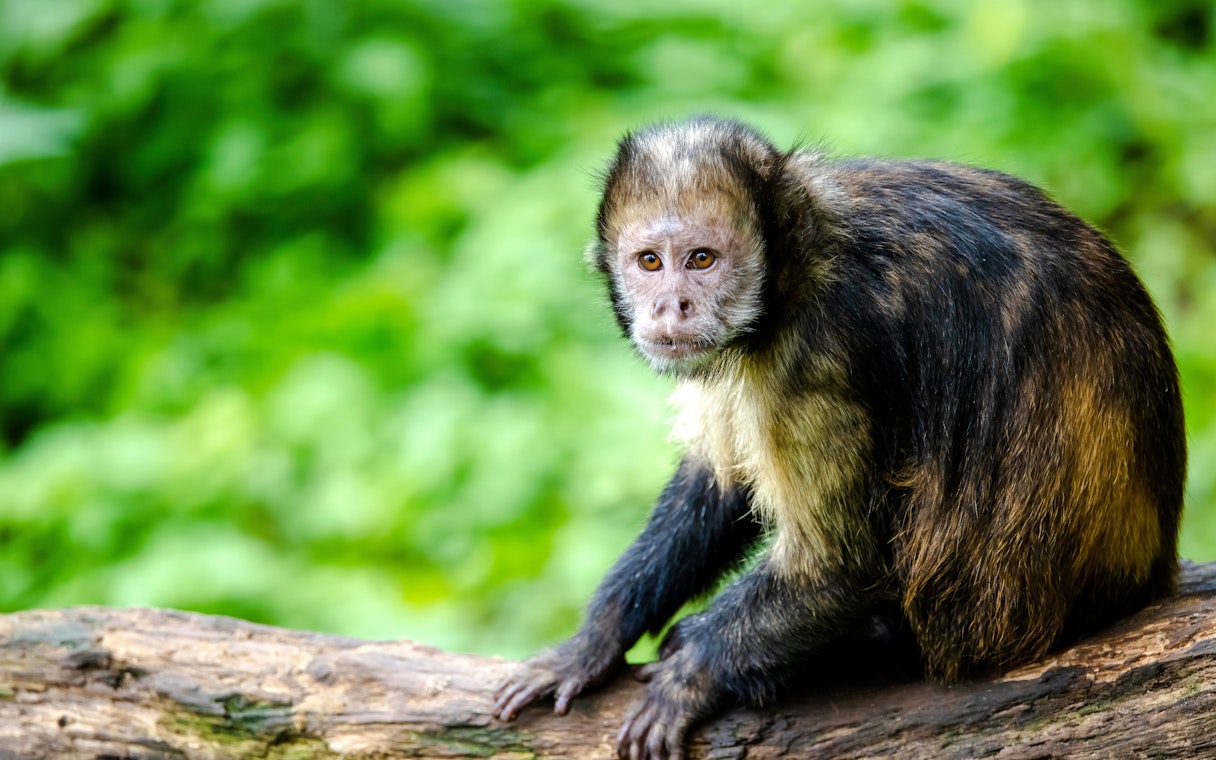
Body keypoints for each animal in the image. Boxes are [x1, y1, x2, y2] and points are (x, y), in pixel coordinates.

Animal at [492, 117, 1186, 760]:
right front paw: (596, 639)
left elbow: (840, 564)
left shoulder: (821, 350)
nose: (671, 307)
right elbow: (719, 483)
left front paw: (693, 675)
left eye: (702, 259)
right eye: (650, 262)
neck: (805, 257)